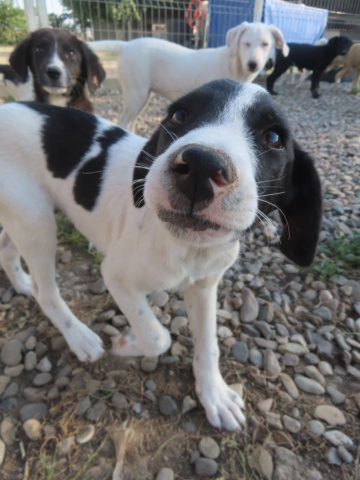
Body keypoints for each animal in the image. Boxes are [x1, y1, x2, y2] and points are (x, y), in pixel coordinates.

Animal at [0, 79, 322, 432]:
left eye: (274, 137)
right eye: (179, 115)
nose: (200, 165)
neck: (186, 248)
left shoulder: (204, 286)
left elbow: (208, 343)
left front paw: (214, 394)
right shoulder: (115, 275)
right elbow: (158, 337)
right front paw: (127, 344)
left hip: (22, 217)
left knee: (6, 250)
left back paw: (21, 283)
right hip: (36, 221)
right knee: (45, 292)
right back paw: (79, 337)